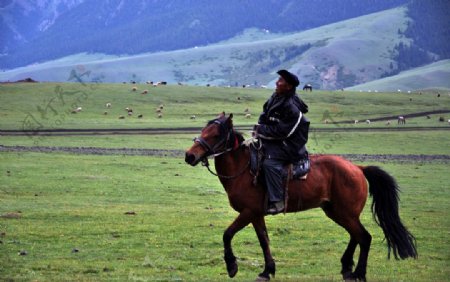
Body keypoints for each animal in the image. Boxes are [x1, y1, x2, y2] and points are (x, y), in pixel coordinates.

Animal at [185, 113, 416, 280]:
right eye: (204, 130)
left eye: (215, 134)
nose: (190, 156)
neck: (244, 169)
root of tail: (358, 168)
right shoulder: (256, 214)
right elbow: (264, 240)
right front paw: (268, 270)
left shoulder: (248, 211)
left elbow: (227, 234)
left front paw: (232, 266)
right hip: (337, 212)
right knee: (356, 236)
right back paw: (347, 268)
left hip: (345, 213)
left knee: (364, 237)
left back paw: (358, 273)